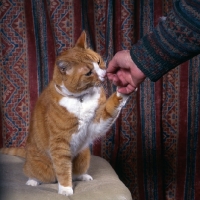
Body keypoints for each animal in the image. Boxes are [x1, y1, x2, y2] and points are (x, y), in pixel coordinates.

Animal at [0, 30, 129, 195]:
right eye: (88, 73)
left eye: (99, 61)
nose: (104, 74)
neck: (81, 99)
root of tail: (27, 153)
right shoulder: (59, 143)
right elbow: (63, 168)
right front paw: (66, 189)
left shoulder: (97, 122)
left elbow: (110, 108)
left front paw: (124, 89)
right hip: (42, 167)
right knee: (34, 172)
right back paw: (32, 181)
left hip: (84, 155)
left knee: (75, 172)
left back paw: (83, 176)